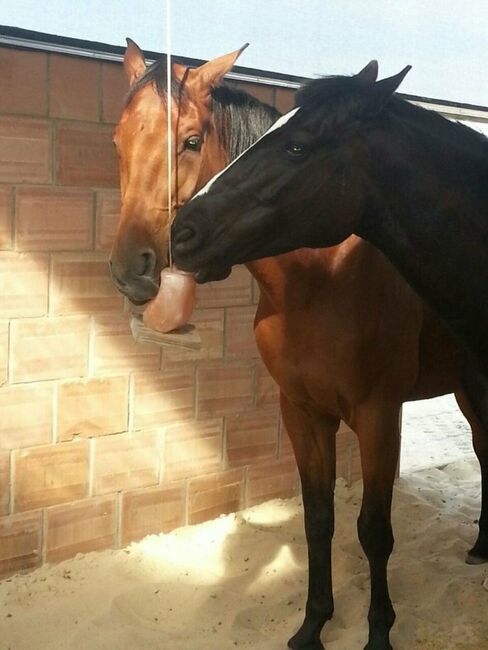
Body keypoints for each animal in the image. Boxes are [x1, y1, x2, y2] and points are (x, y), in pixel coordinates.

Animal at [108, 41, 486, 648]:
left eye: (190, 141)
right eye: (118, 141)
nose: (132, 267)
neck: (318, 283)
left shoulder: (380, 417)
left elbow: (374, 530)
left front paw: (379, 631)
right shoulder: (303, 413)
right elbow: (318, 519)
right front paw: (312, 623)